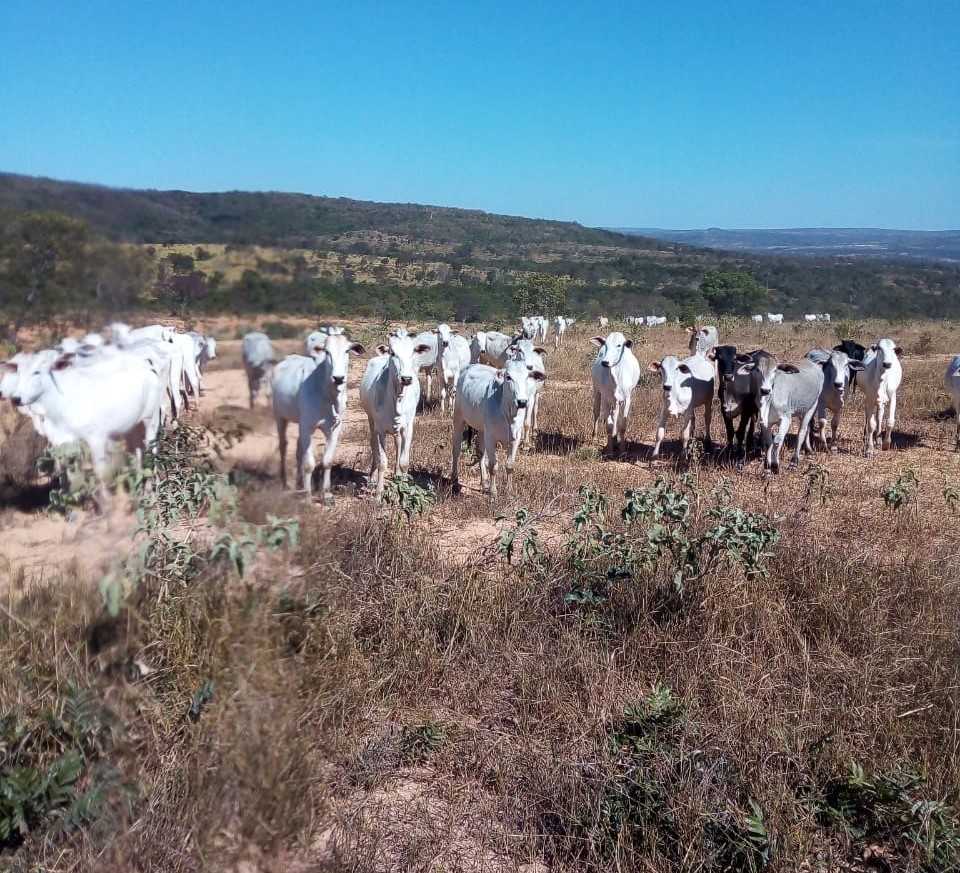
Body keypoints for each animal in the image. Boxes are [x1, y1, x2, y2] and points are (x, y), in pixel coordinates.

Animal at [272, 328, 366, 504]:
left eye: (347, 350)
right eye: (327, 351)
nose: (338, 378)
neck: (327, 395)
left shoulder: (335, 427)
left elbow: (327, 461)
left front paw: (326, 494)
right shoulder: (308, 426)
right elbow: (309, 463)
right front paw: (308, 496)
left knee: (298, 449)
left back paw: (299, 483)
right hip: (279, 416)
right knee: (283, 445)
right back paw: (285, 483)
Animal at [356, 332, 428, 498]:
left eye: (413, 351)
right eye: (393, 353)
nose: (406, 378)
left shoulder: (408, 428)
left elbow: (404, 461)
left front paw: (405, 487)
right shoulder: (380, 430)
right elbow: (383, 461)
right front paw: (378, 493)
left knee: (398, 444)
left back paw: (397, 475)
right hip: (371, 421)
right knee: (373, 446)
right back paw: (372, 477)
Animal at [450, 358, 540, 498]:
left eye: (527, 376)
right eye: (508, 377)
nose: (522, 402)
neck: (508, 414)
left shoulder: (516, 438)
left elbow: (509, 465)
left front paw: (509, 491)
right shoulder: (491, 438)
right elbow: (493, 466)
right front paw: (493, 492)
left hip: (482, 429)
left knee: (480, 452)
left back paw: (484, 482)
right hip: (459, 418)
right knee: (456, 449)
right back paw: (455, 479)